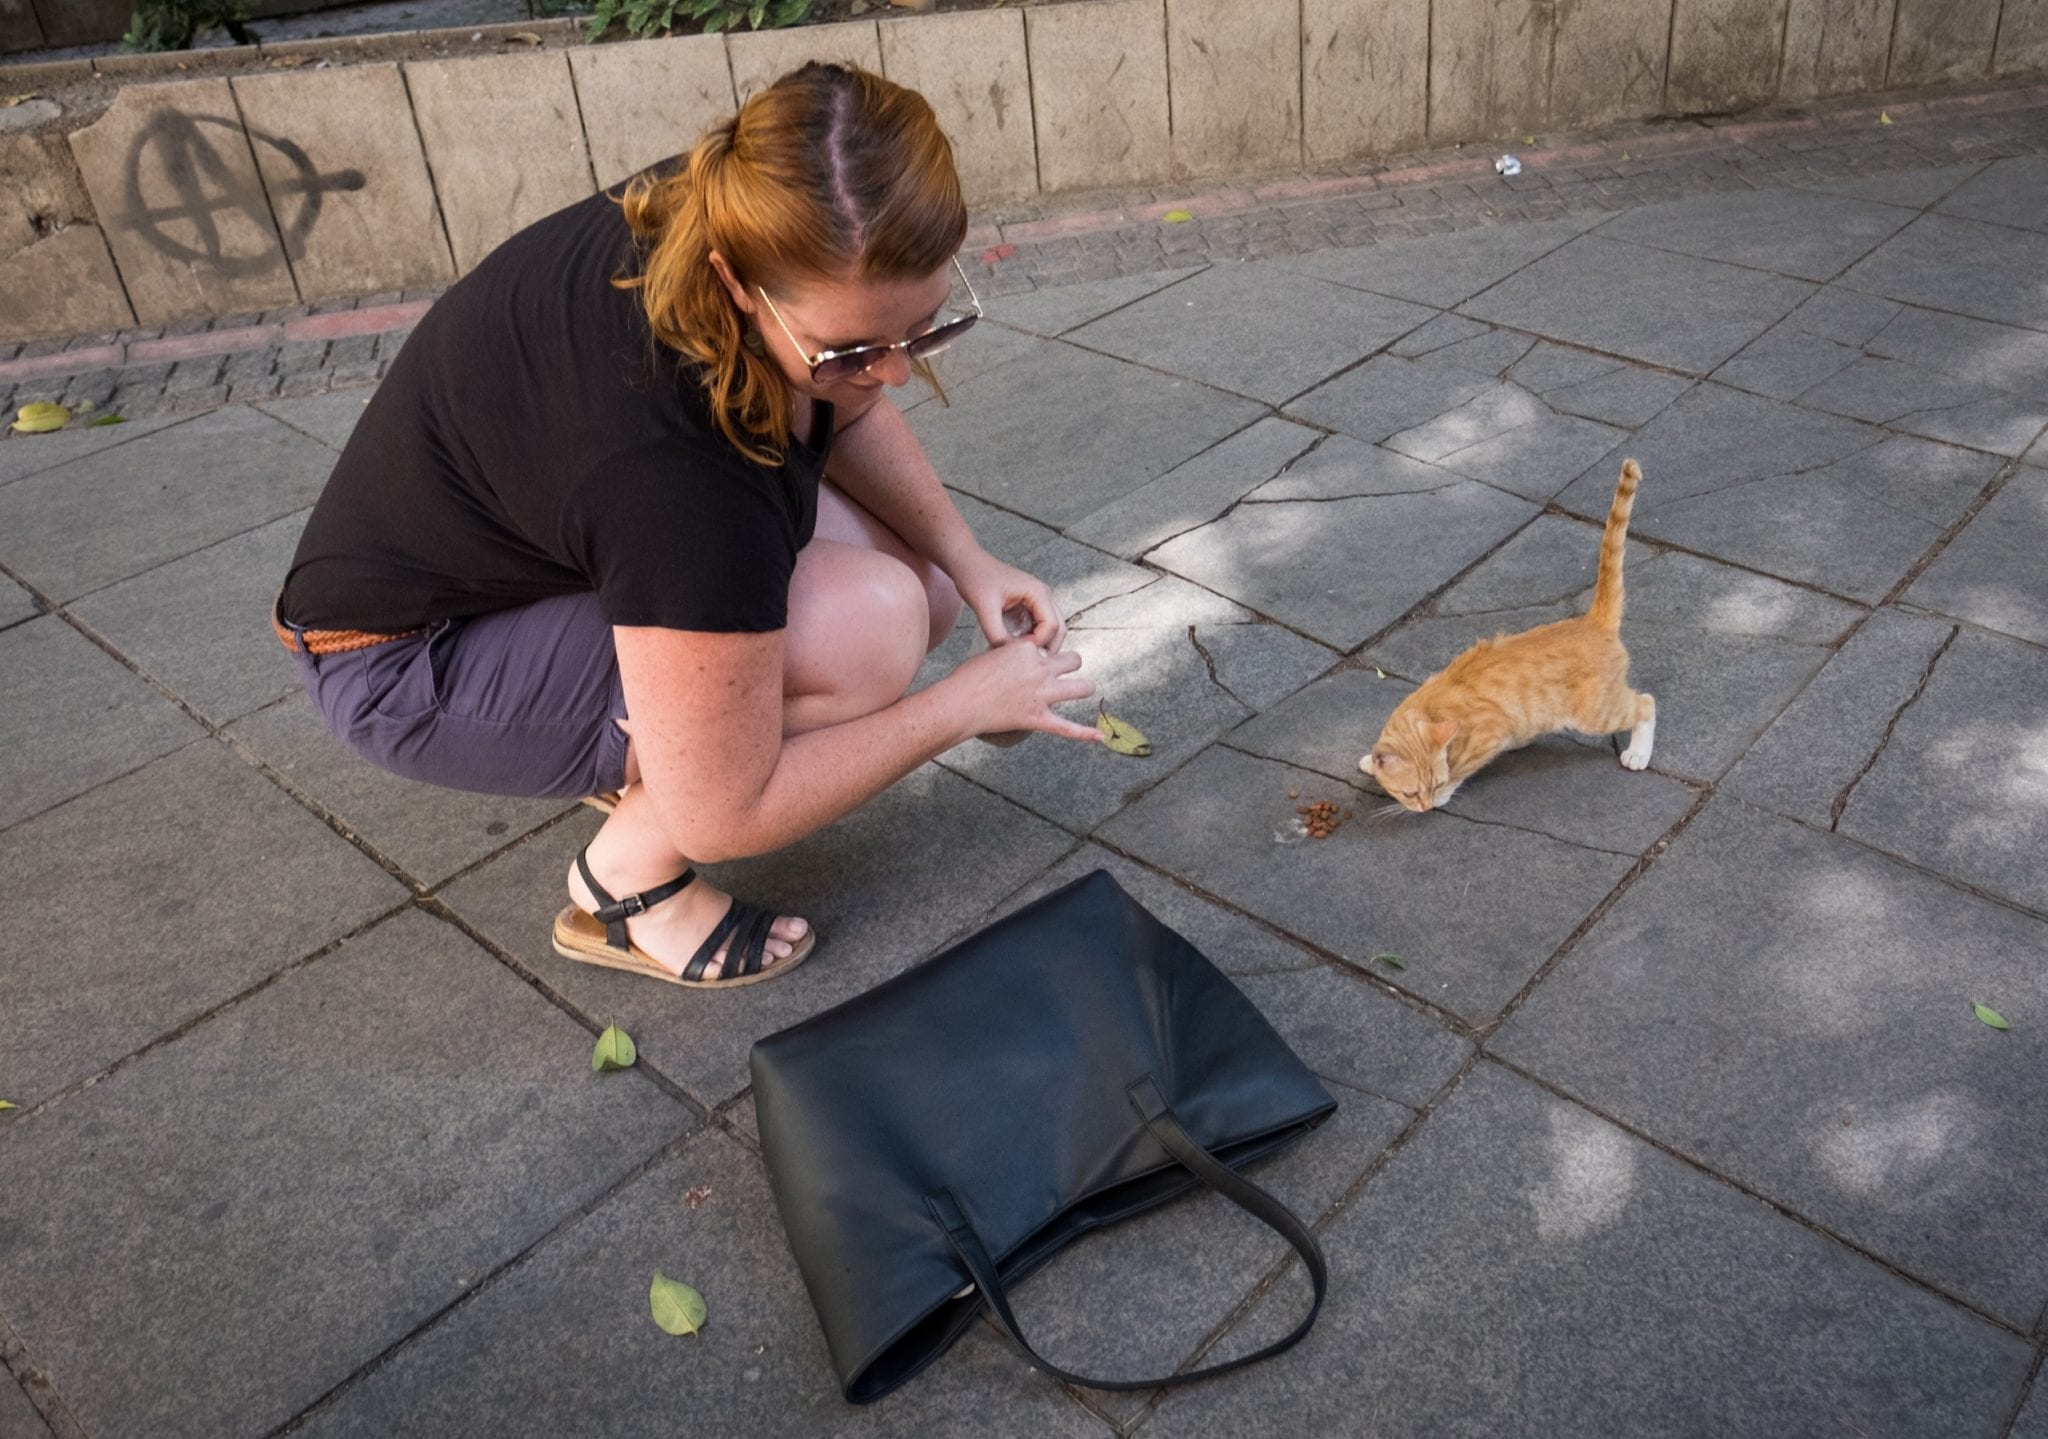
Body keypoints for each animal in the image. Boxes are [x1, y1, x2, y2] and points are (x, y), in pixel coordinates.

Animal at [1359, 466, 1662, 814]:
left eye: (1432, 787)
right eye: (1410, 793)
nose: (1426, 808)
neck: (1429, 710)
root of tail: (1591, 622)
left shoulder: (1489, 733)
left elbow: (1461, 770)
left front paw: (1446, 792)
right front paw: (1371, 761)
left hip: (1596, 712)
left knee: (1645, 703)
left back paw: (1638, 752)